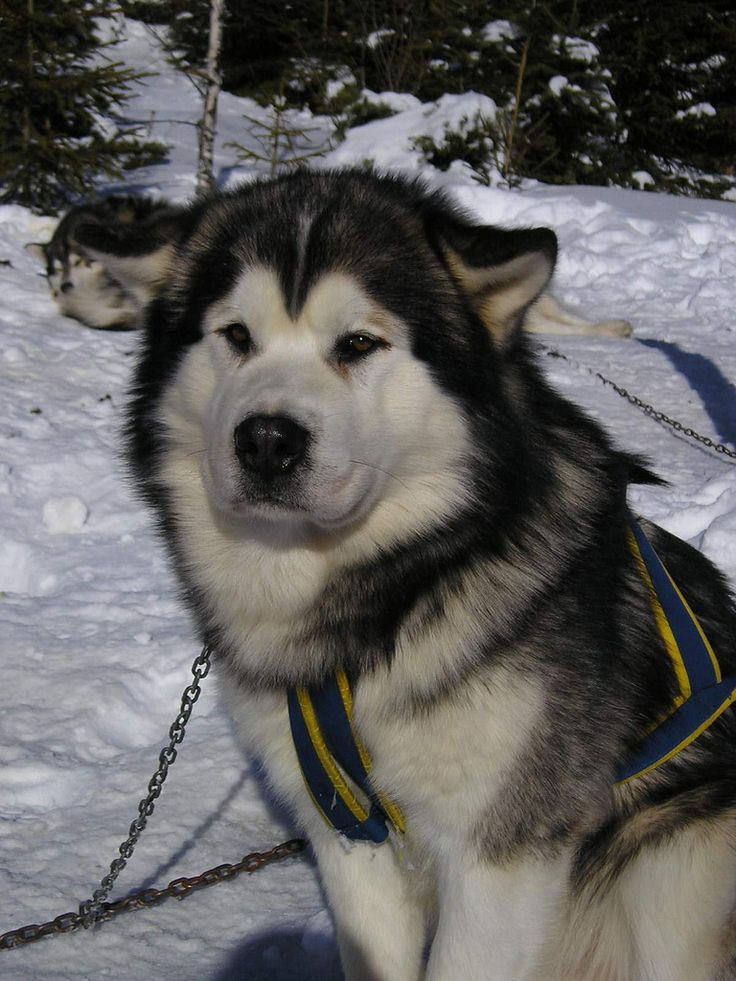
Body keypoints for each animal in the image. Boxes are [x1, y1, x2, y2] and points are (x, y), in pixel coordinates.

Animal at [75, 172, 732, 976]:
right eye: (235, 336)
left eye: (358, 343)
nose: (266, 440)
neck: (390, 603)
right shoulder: (349, 839)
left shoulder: (500, 854)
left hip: (674, 865)